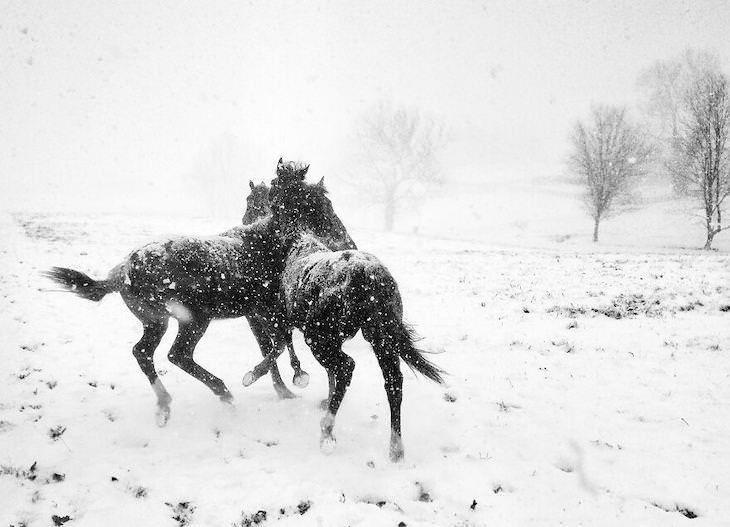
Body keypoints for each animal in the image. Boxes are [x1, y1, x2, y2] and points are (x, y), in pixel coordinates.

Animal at [44, 159, 352, 426]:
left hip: (156, 321)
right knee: (177, 355)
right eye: (318, 202)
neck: (268, 244)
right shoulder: (267, 313)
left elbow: (278, 345)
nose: (344, 241)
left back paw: (166, 404)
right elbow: (275, 346)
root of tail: (125, 270)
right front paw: (258, 377)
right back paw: (223, 393)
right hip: (193, 319)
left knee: (143, 352)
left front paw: (291, 384)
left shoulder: (269, 314)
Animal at [242, 169, 440, 462]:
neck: (300, 240)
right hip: (381, 340)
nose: (248, 222)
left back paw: (327, 430)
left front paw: (257, 375)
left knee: (347, 367)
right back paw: (395, 448)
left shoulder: (281, 318)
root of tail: (369, 276)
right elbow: (288, 351)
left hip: (321, 339)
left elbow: (278, 348)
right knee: (393, 382)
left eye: (269, 193)